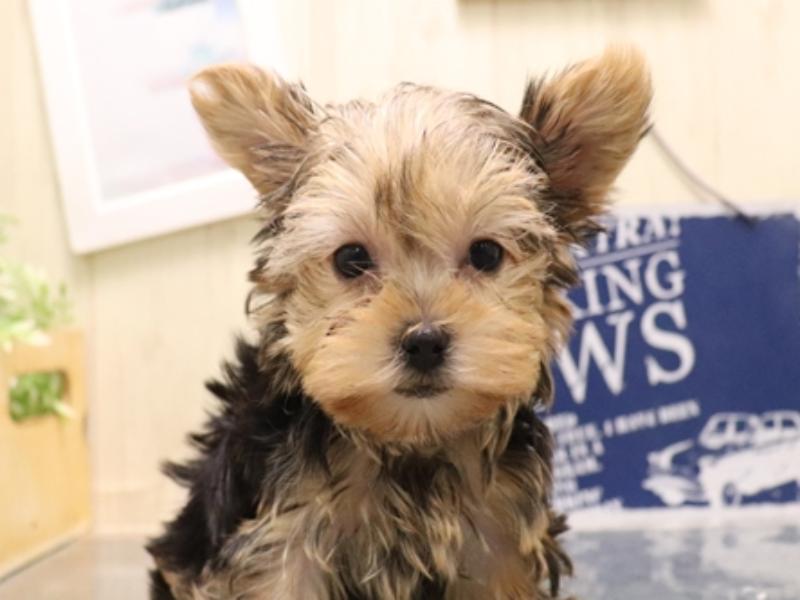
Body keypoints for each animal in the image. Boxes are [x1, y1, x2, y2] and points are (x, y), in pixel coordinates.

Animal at [147, 47, 651, 599]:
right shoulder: (277, 540)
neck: (410, 441)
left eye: (486, 254)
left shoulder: (500, 539)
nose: (424, 341)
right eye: (350, 259)